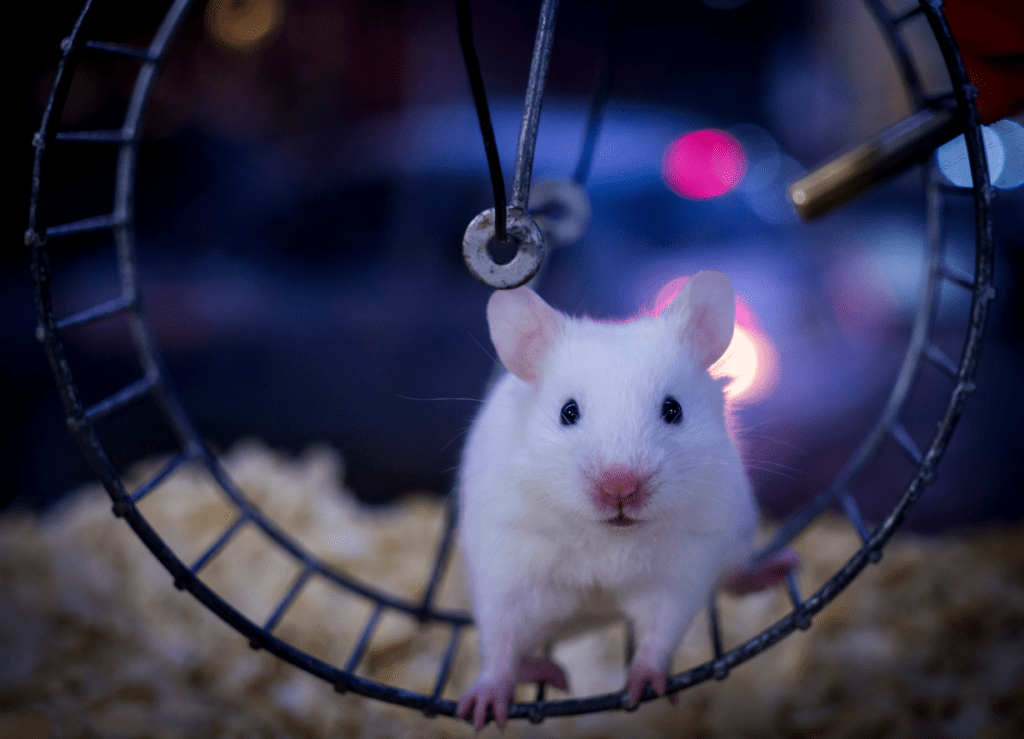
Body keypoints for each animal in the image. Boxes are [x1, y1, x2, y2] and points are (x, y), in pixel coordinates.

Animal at [456, 270, 792, 730]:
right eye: (568, 412)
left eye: (673, 410)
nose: (620, 487)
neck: (608, 537)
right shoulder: (508, 568)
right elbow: (500, 641)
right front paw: (481, 710)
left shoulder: (680, 571)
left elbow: (660, 633)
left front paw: (644, 688)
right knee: (522, 653)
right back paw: (554, 676)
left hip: (736, 540)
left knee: (737, 578)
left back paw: (782, 566)